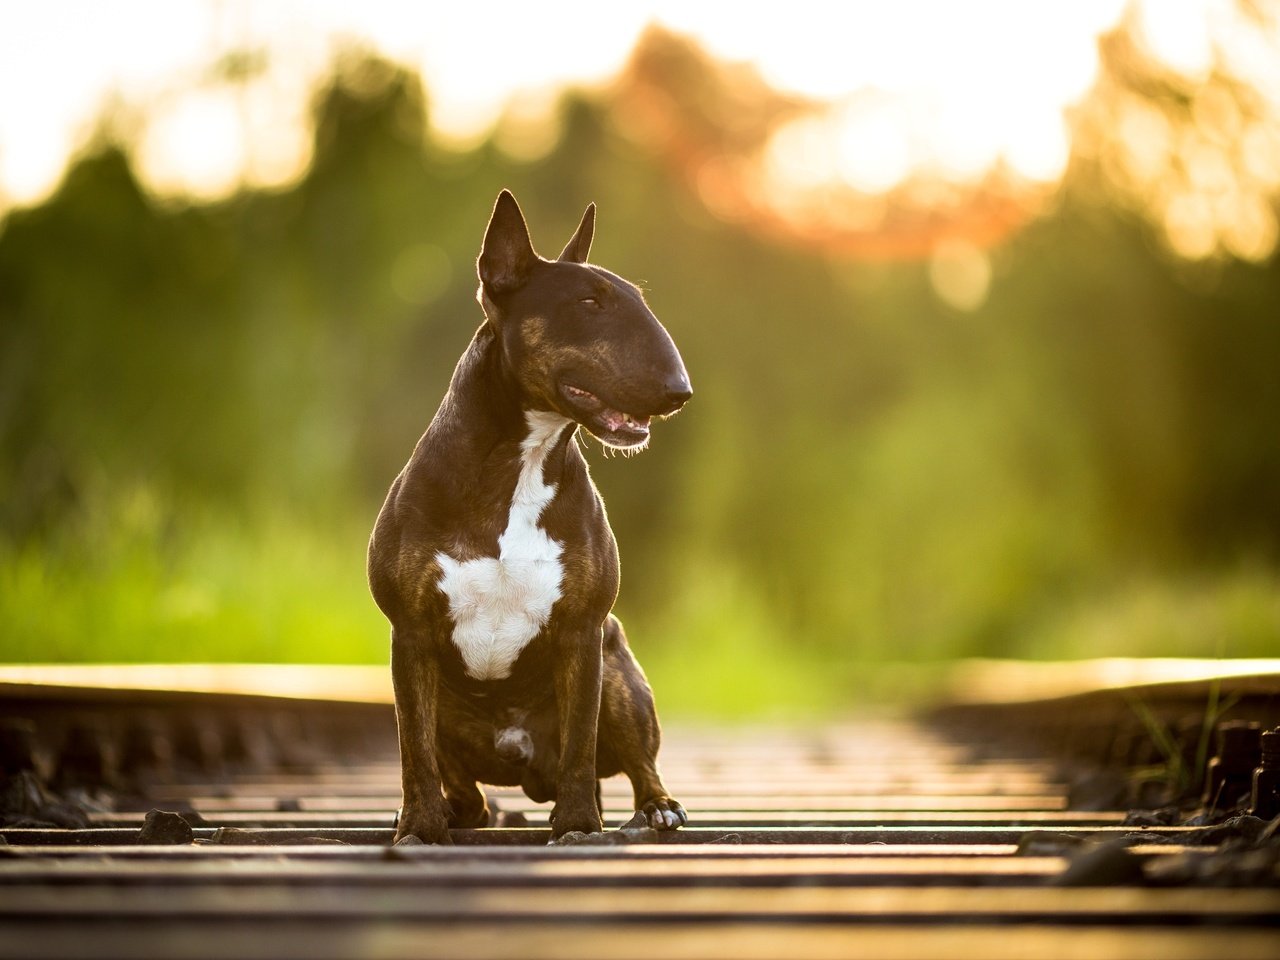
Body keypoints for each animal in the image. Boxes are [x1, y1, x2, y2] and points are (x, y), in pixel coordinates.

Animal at [366, 188, 696, 839]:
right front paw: (419, 826)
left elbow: (579, 744)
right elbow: (413, 746)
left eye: (639, 303)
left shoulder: (583, 633)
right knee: (462, 788)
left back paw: (656, 808)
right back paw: (451, 811)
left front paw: (578, 825)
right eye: (589, 302)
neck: (519, 464)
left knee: (635, 761)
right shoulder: (409, 635)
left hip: (620, 674)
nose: (680, 391)